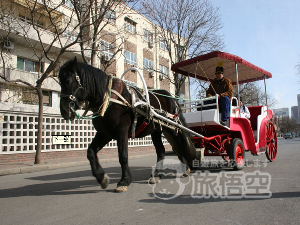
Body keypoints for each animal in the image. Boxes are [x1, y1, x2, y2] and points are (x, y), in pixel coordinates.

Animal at [59, 57, 198, 192]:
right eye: (60, 81)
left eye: (68, 79)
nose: (65, 111)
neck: (110, 99)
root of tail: (171, 97)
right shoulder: (104, 133)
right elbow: (90, 152)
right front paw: (101, 177)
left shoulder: (122, 132)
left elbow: (123, 156)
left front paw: (124, 181)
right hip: (156, 131)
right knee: (161, 151)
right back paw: (157, 175)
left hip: (172, 128)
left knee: (179, 144)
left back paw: (185, 168)